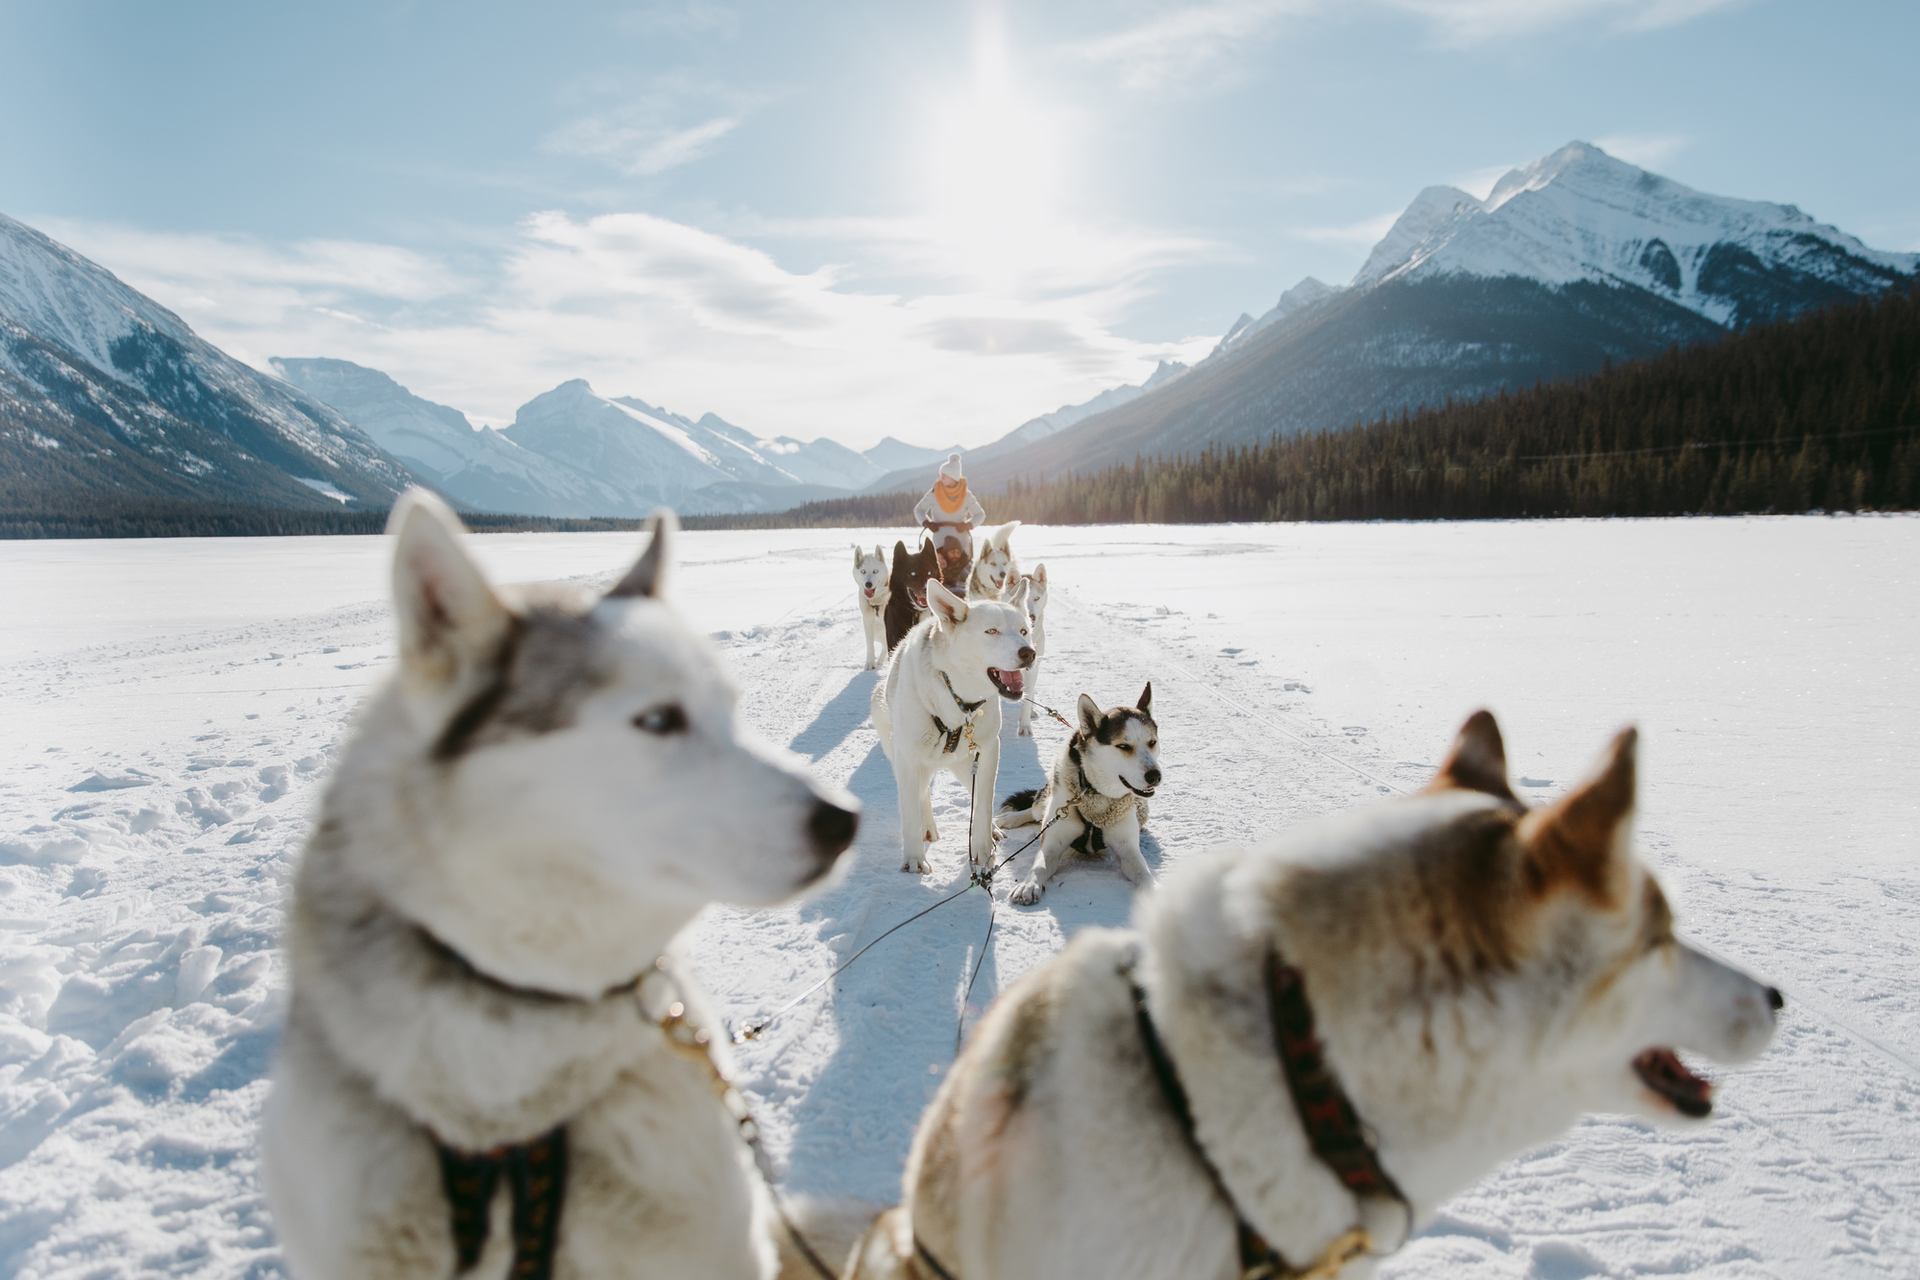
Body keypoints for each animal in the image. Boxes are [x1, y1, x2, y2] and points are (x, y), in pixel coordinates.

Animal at [875, 579, 1036, 871]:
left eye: (1023, 631)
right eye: (991, 631)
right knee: (921, 794)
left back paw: (991, 831)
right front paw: (914, 859)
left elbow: (983, 805)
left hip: (965, 764)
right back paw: (927, 827)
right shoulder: (908, 758)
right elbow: (910, 810)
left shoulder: (988, 751)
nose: (1029, 652)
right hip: (905, 754)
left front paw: (983, 850)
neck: (957, 700)